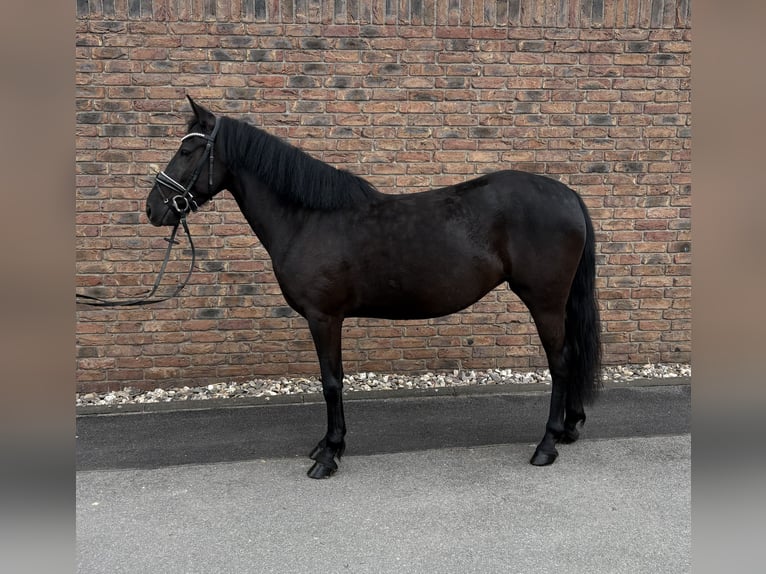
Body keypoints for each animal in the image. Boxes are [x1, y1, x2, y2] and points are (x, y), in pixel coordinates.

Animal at [146, 97, 602, 479]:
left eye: (187, 151)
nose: (152, 208)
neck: (307, 218)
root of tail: (568, 195)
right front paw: (326, 446)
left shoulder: (324, 318)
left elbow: (331, 381)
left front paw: (329, 455)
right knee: (572, 355)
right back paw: (568, 429)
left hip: (544, 301)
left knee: (561, 362)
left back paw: (546, 445)